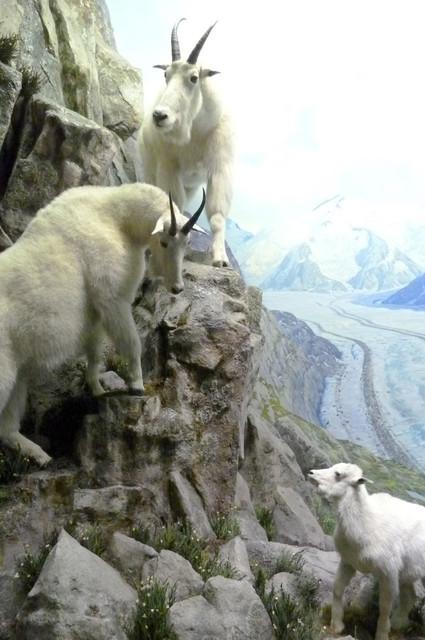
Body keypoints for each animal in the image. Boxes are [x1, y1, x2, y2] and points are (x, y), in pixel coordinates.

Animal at [0, 183, 205, 466]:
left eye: (186, 243)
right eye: (164, 242)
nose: (177, 287)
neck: (115, 216)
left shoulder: (94, 313)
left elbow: (95, 351)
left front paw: (97, 389)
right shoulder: (113, 299)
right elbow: (130, 342)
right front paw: (137, 386)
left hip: (17, 376)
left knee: (7, 429)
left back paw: (40, 455)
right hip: (4, 371)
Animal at [140, 19, 234, 267]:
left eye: (193, 77)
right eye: (166, 75)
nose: (159, 116)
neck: (195, 132)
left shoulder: (220, 169)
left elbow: (217, 215)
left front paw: (220, 260)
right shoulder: (168, 167)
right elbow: (174, 206)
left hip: (191, 185)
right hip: (150, 171)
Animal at [308, 462, 425, 640]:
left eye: (338, 474)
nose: (311, 473)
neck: (366, 520)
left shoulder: (388, 574)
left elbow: (384, 608)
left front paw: (382, 634)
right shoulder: (348, 561)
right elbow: (337, 589)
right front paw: (337, 625)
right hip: (407, 574)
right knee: (411, 596)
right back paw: (399, 623)